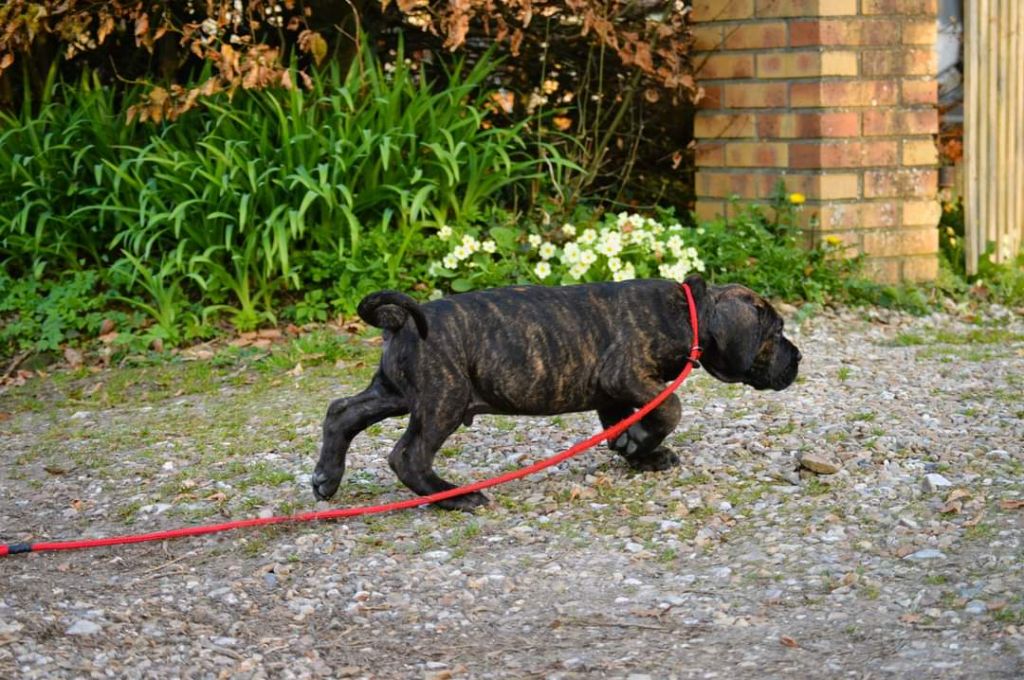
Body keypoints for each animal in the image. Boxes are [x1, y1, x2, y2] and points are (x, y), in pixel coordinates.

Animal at [311, 275, 801, 511]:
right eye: (775, 333)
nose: (798, 358)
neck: (689, 311)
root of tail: (400, 321)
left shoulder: (611, 392)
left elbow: (622, 425)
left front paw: (638, 451)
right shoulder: (626, 375)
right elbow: (670, 408)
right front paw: (642, 443)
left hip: (395, 392)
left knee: (341, 412)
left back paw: (326, 477)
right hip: (442, 398)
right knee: (407, 456)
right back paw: (454, 497)